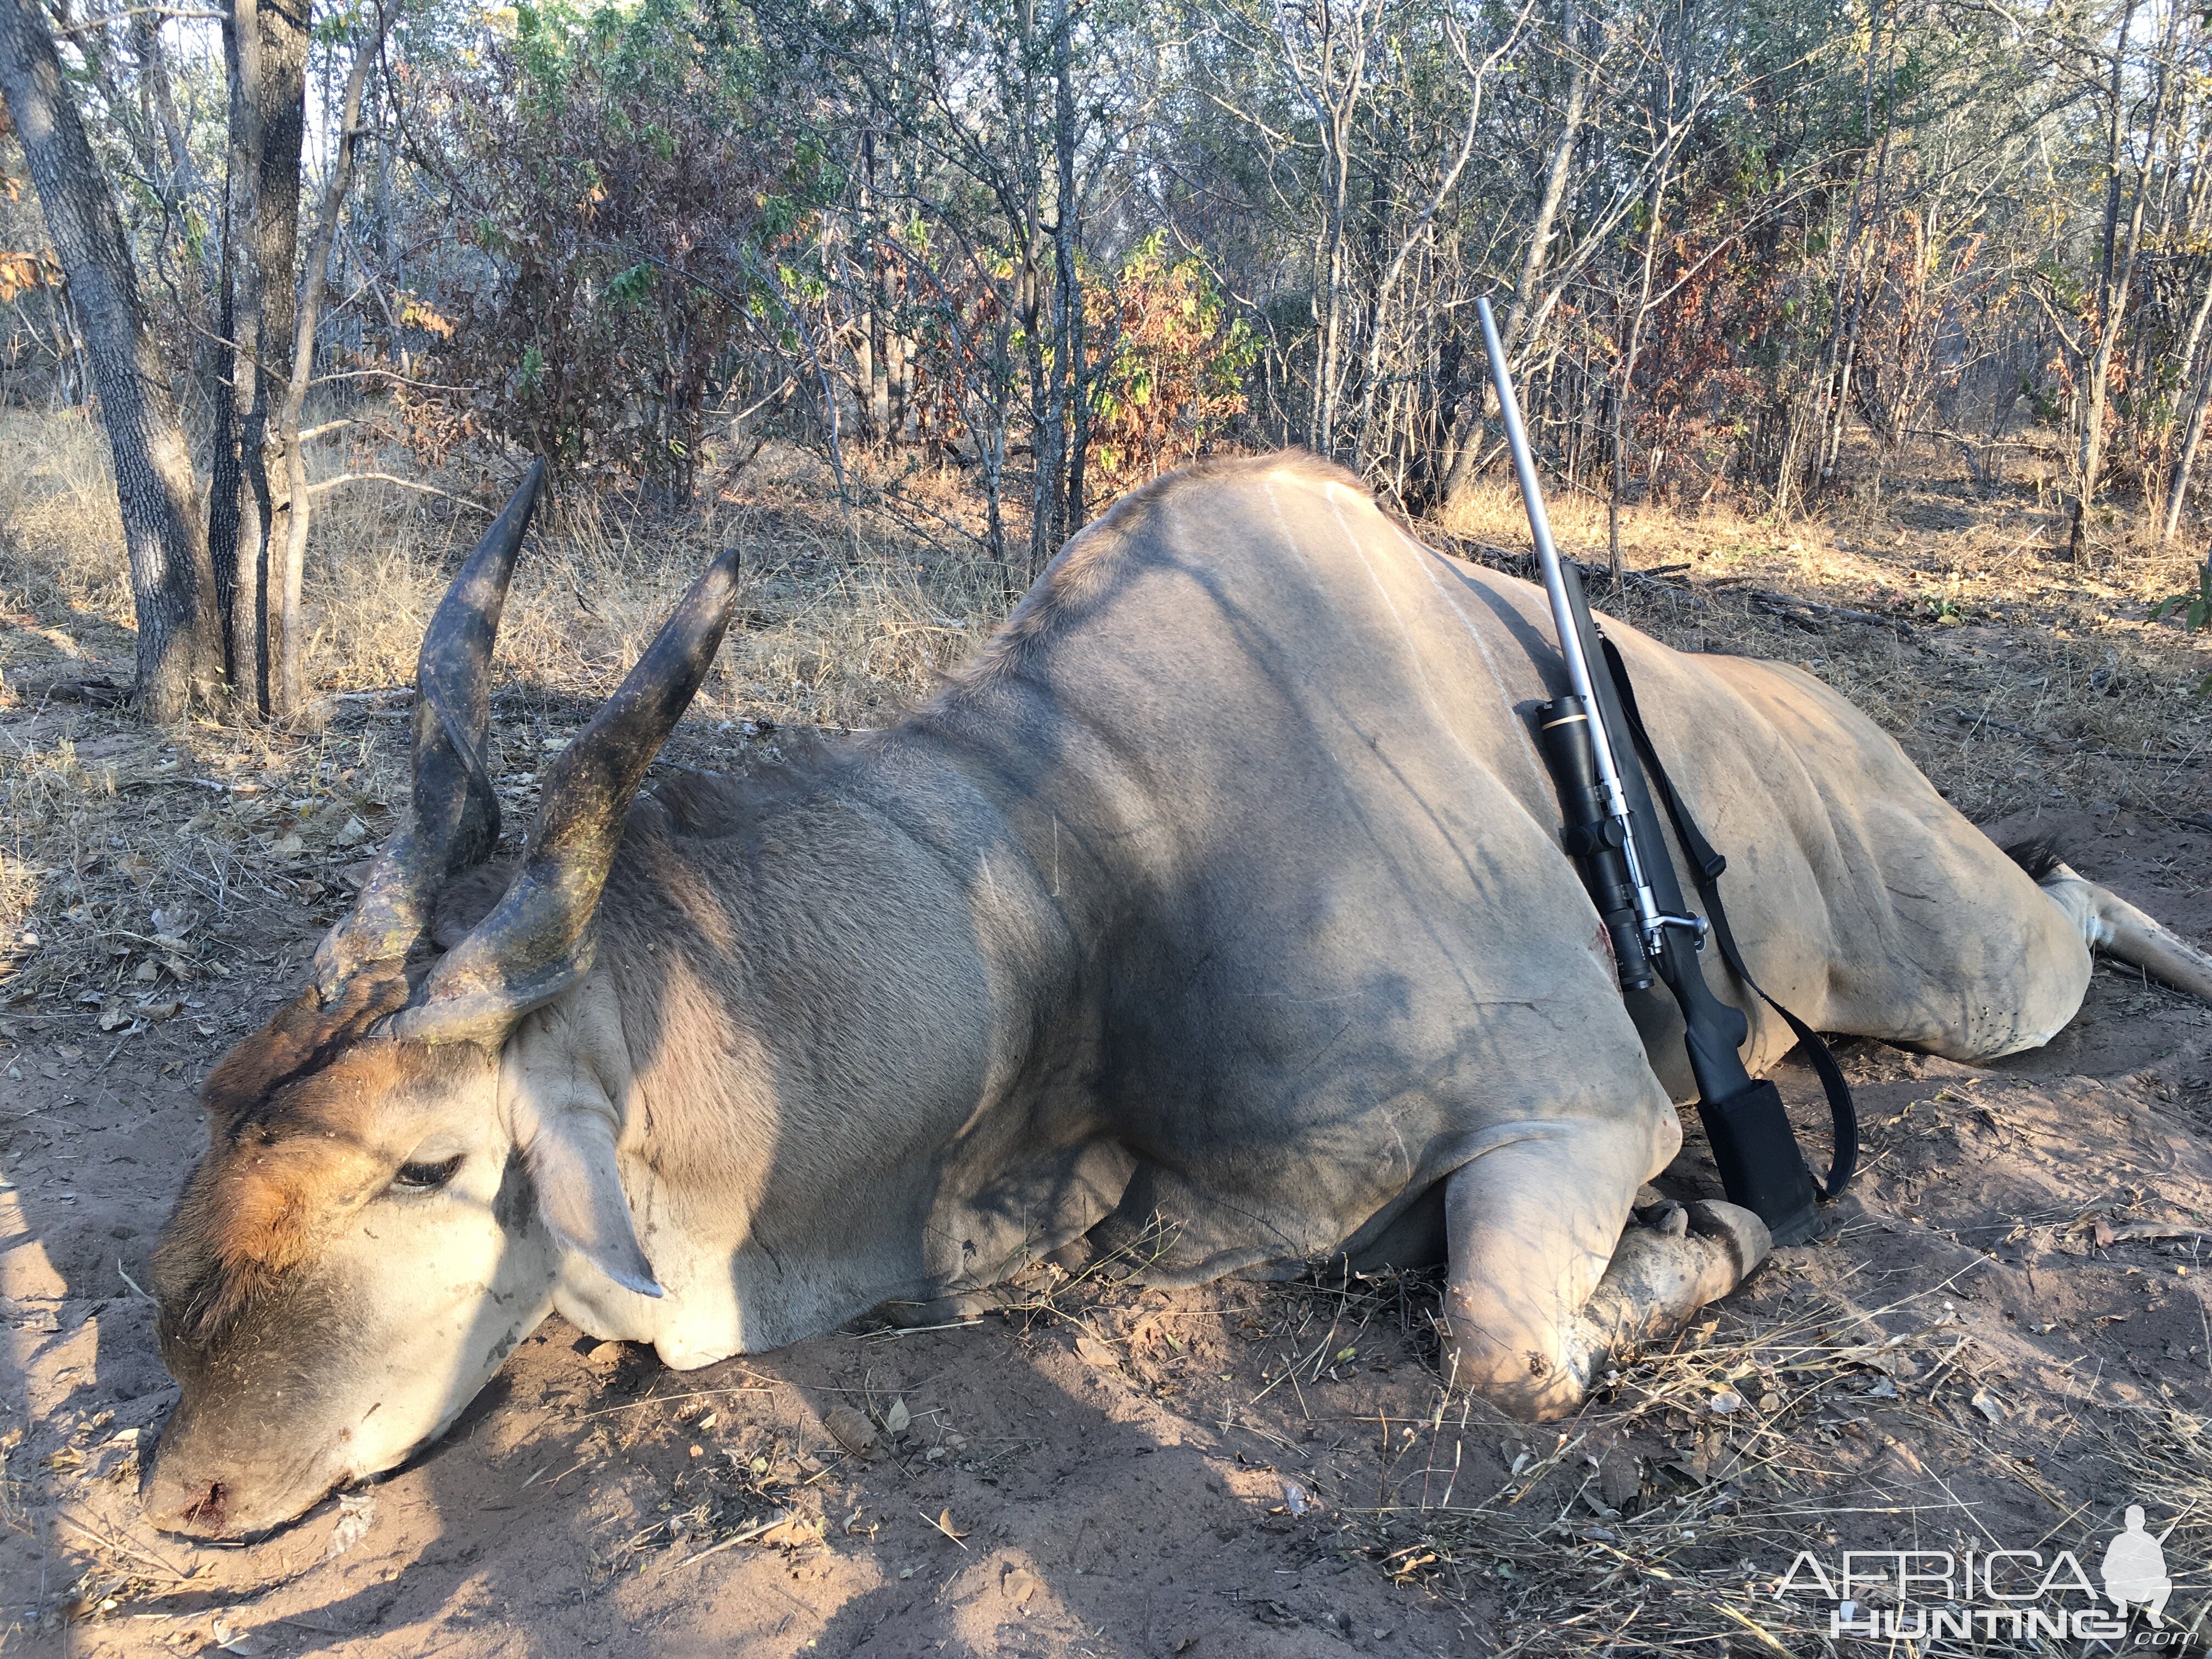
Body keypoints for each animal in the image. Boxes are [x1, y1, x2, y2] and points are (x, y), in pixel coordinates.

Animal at [143, 449, 2212, 1539]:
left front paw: (1721, 1230)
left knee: (2073, 900)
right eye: (217, 1111)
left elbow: (1508, 1344)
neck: (1075, 874)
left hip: (1964, 975)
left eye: (427, 1165)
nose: (182, 1489)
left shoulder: (1588, 1113)